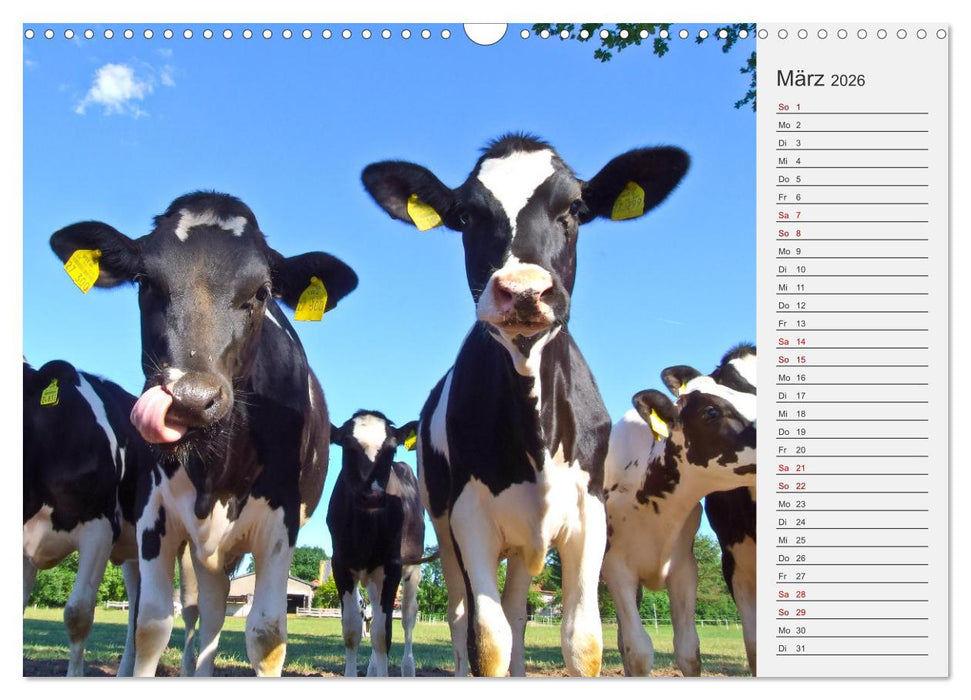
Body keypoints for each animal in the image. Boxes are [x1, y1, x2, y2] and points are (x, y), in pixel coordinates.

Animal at [49, 191, 358, 676]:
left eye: (262, 292)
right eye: (144, 281)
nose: (192, 398)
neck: (216, 467)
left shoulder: (281, 525)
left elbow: (266, 634)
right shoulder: (154, 516)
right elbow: (151, 625)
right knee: (206, 610)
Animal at [327, 410, 424, 676]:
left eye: (391, 449)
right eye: (348, 446)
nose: (372, 495)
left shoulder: (392, 566)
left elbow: (383, 635)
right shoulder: (340, 564)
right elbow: (352, 629)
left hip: (413, 568)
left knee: (409, 618)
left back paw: (408, 667)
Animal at [361, 133, 689, 676]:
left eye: (575, 208)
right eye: (467, 216)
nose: (523, 291)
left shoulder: (590, 516)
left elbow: (582, 642)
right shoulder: (469, 519)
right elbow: (488, 641)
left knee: (516, 611)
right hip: (444, 527)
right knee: (461, 619)